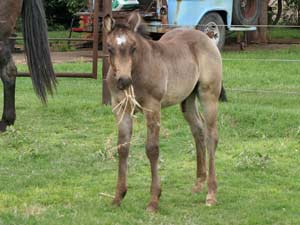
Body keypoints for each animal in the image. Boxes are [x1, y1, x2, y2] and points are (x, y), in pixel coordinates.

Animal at [104, 13, 221, 212]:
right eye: (110, 48)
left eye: (133, 48)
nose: (124, 81)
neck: (138, 69)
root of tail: (206, 37)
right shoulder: (120, 108)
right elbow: (123, 148)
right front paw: (118, 197)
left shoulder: (153, 107)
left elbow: (152, 149)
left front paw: (153, 200)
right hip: (187, 100)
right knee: (198, 130)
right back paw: (199, 183)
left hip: (209, 95)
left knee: (211, 136)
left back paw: (211, 194)